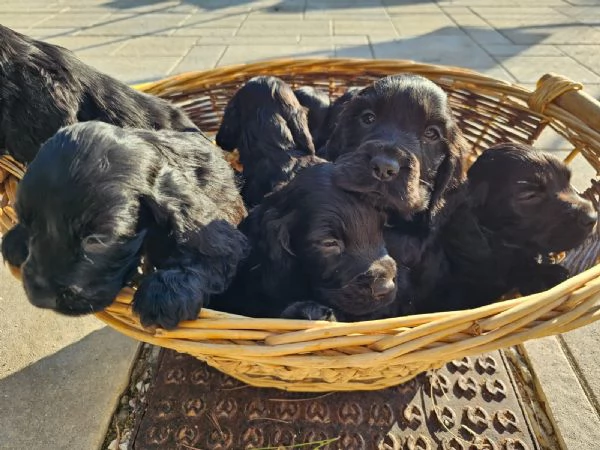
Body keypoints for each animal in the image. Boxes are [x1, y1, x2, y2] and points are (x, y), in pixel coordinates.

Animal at [0, 121, 248, 328]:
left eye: (96, 240)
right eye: (28, 224)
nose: (40, 297)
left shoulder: (212, 227)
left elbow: (209, 253)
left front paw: (162, 294)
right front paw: (15, 239)